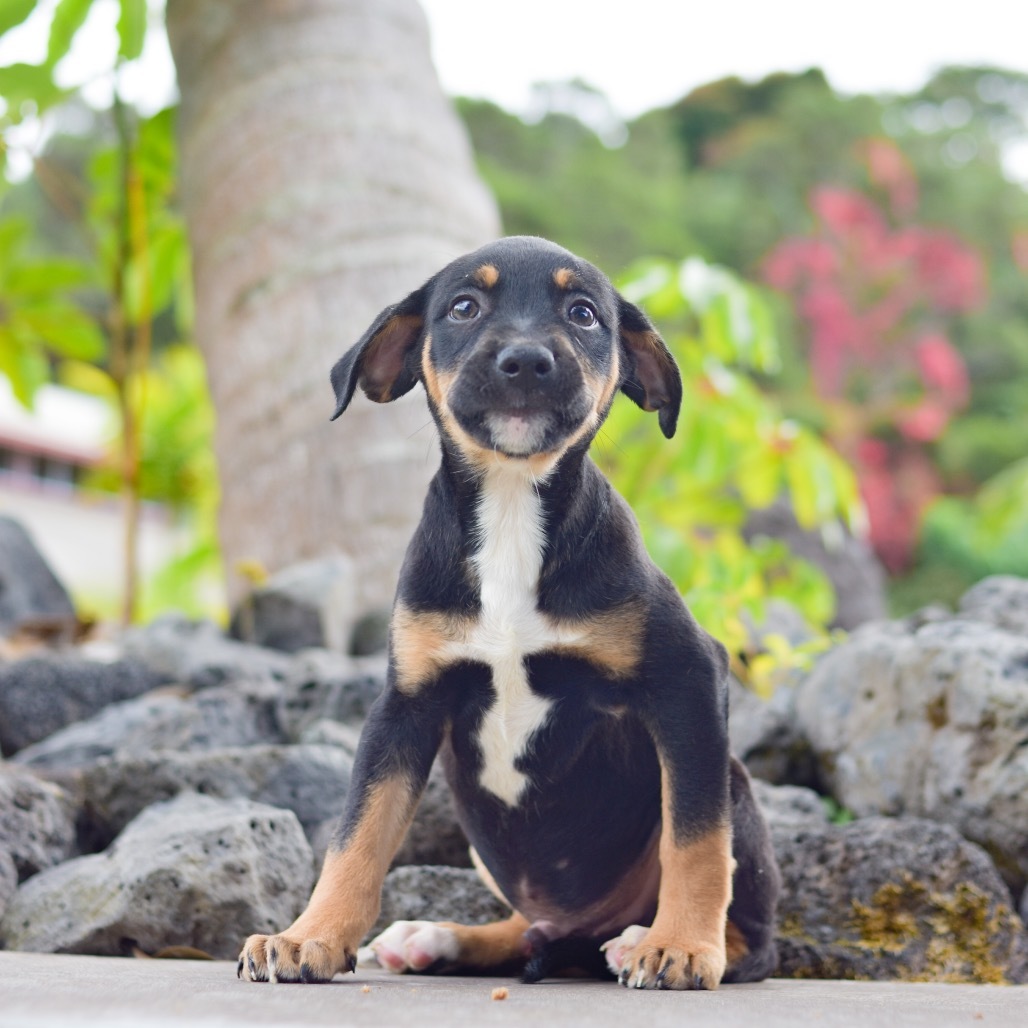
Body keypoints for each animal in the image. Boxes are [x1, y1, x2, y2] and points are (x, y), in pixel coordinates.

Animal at [236, 236, 773, 990]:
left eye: (583, 314)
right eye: (464, 307)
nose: (524, 360)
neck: (513, 504)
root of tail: (582, 923)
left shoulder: (690, 680)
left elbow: (696, 838)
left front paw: (684, 947)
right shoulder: (406, 703)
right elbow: (357, 833)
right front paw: (309, 936)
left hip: (737, 784)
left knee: (753, 935)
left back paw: (650, 938)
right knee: (527, 929)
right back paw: (436, 939)